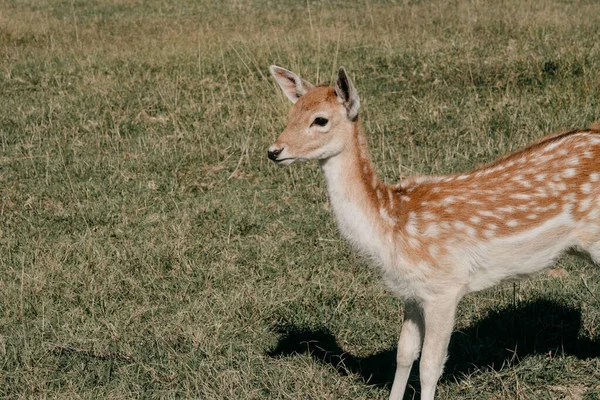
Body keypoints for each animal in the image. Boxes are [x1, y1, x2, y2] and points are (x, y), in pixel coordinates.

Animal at [270, 64, 600, 398]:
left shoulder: (445, 286)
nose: (274, 151)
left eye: (320, 119)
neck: (390, 225)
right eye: (291, 113)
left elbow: (429, 367)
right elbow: (404, 354)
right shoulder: (411, 292)